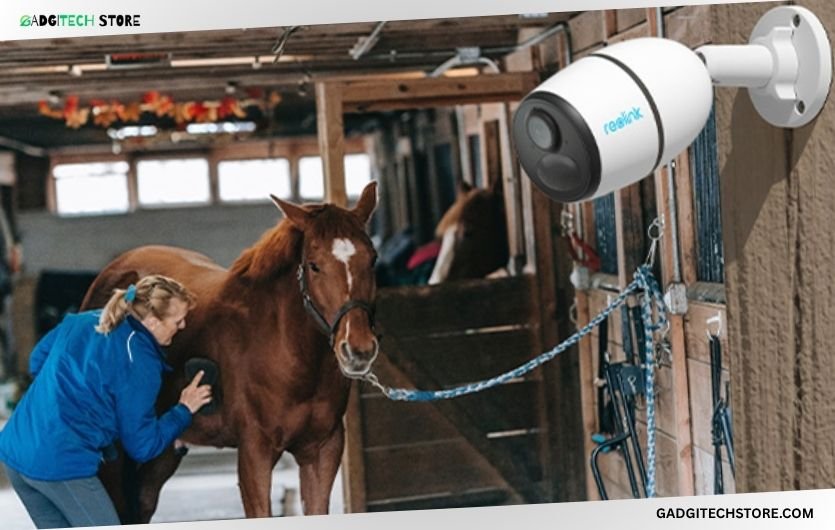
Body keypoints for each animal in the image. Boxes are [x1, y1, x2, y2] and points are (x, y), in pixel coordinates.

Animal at [79, 182, 380, 522]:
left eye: (372, 259)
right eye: (315, 265)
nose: (358, 349)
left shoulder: (322, 451)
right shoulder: (254, 453)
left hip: (164, 448)